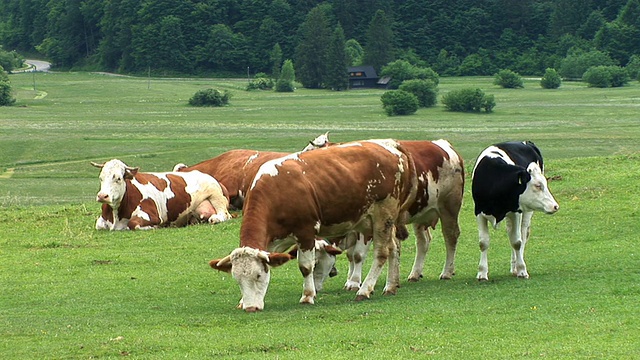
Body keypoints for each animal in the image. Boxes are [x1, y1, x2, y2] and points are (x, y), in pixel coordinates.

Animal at [90, 158, 230, 231]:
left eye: (118, 178)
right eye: (101, 178)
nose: (102, 196)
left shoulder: (152, 215)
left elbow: (133, 224)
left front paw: (153, 227)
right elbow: (99, 225)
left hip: (216, 194)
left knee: (224, 215)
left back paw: (216, 218)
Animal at [210, 139, 420, 310]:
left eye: (259, 276)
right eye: (238, 279)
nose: (251, 308)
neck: (277, 190)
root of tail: (390, 145)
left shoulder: (306, 232)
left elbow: (305, 267)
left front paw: (308, 296)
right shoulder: (273, 240)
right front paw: (242, 301)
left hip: (383, 216)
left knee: (382, 253)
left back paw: (365, 290)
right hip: (382, 221)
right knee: (393, 248)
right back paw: (390, 286)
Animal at [304, 136, 464, 292]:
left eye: (316, 263)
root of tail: (442, 144)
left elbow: (358, 255)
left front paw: (355, 282)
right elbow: (350, 255)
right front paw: (351, 280)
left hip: (449, 208)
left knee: (451, 236)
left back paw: (447, 271)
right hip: (421, 214)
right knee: (423, 241)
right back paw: (415, 273)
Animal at [472, 141, 556, 282]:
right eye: (538, 185)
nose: (555, 206)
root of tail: (527, 142)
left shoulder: (516, 211)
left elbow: (517, 242)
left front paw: (522, 270)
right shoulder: (479, 212)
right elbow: (483, 242)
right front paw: (482, 273)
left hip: (527, 211)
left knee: (522, 234)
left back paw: (517, 266)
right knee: (510, 232)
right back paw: (513, 266)